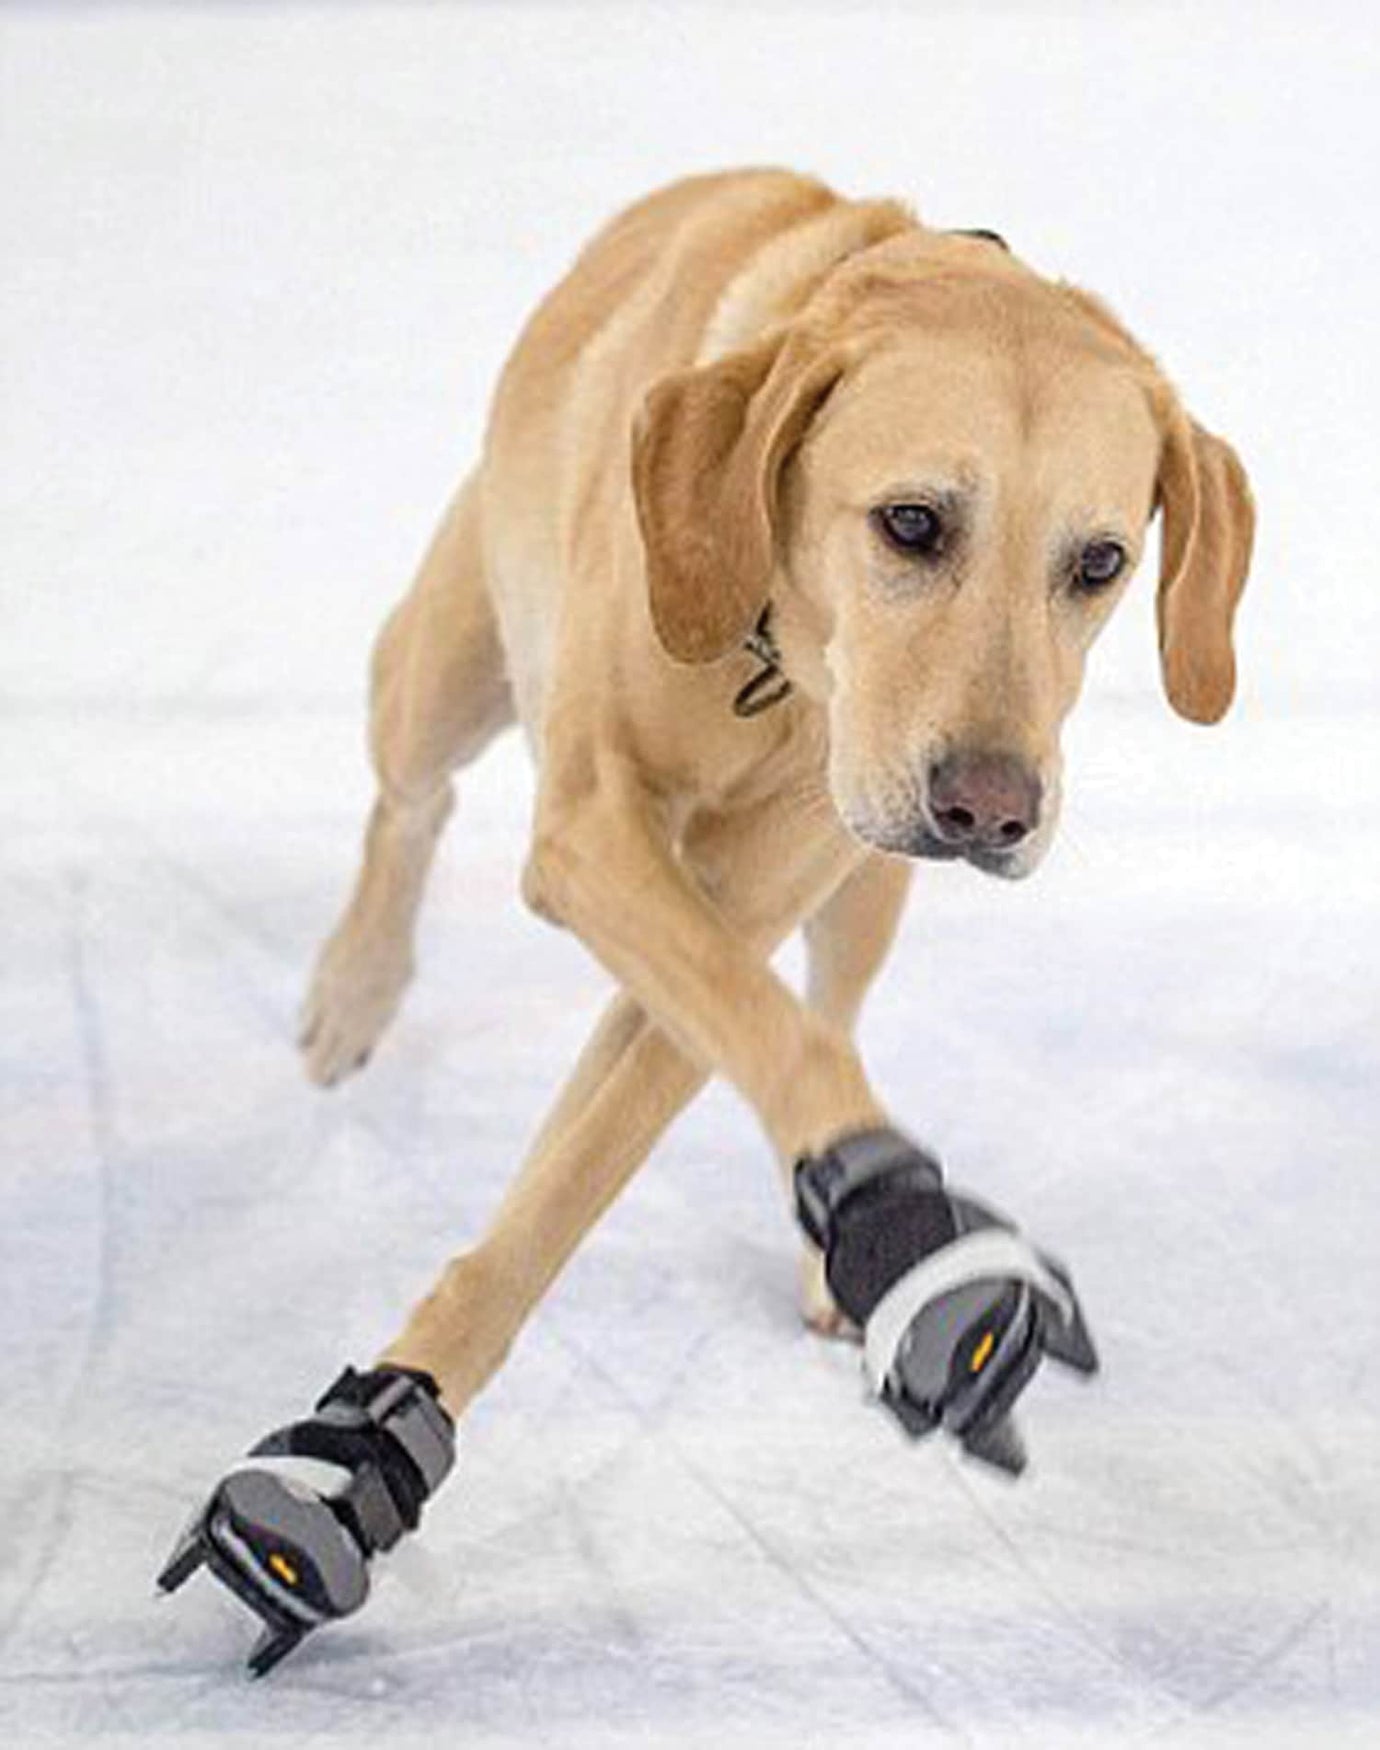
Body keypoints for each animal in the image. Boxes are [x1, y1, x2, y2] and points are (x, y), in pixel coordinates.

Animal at [295, 170, 1252, 1407]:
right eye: (910, 521)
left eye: (1099, 562)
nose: (990, 809)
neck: (771, 666)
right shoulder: (591, 833)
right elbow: (717, 1069)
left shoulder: (730, 911)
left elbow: (698, 1077)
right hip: (443, 676)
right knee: (410, 805)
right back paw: (353, 989)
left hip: (866, 886)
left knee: (826, 1004)